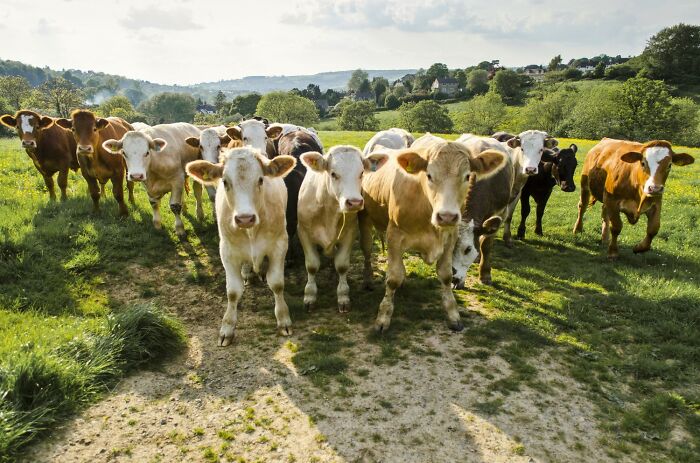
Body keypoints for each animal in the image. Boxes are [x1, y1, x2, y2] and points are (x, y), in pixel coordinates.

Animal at [185, 147, 297, 346]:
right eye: (224, 181)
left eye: (260, 179)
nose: (245, 218)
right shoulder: (227, 251)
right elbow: (233, 292)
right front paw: (227, 328)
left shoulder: (279, 245)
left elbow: (277, 284)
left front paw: (283, 319)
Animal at [297, 145, 389, 313]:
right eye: (333, 174)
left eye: (361, 173)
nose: (354, 202)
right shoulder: (303, 233)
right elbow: (312, 266)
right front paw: (310, 296)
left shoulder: (349, 234)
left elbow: (342, 265)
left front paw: (343, 297)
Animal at [359, 133, 507, 332]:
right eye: (429, 175)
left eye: (467, 176)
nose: (447, 216)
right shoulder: (394, 236)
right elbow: (393, 278)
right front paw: (383, 317)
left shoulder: (450, 237)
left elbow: (446, 276)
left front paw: (453, 315)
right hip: (364, 219)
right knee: (367, 251)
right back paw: (368, 279)